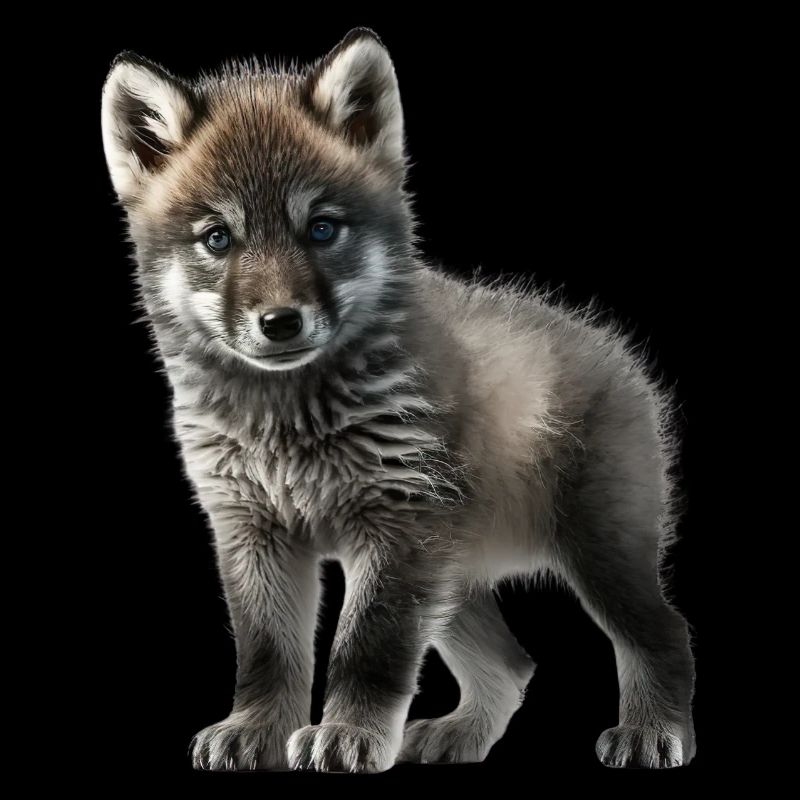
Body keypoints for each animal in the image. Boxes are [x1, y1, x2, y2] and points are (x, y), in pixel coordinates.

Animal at [101, 28, 696, 772]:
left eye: (322, 229)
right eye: (218, 238)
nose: (280, 323)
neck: (289, 417)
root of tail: (617, 351)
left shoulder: (396, 528)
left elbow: (368, 649)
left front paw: (346, 733)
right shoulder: (252, 531)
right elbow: (268, 654)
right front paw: (255, 730)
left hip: (597, 553)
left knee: (665, 633)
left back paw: (653, 731)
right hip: (452, 578)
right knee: (514, 664)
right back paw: (460, 736)